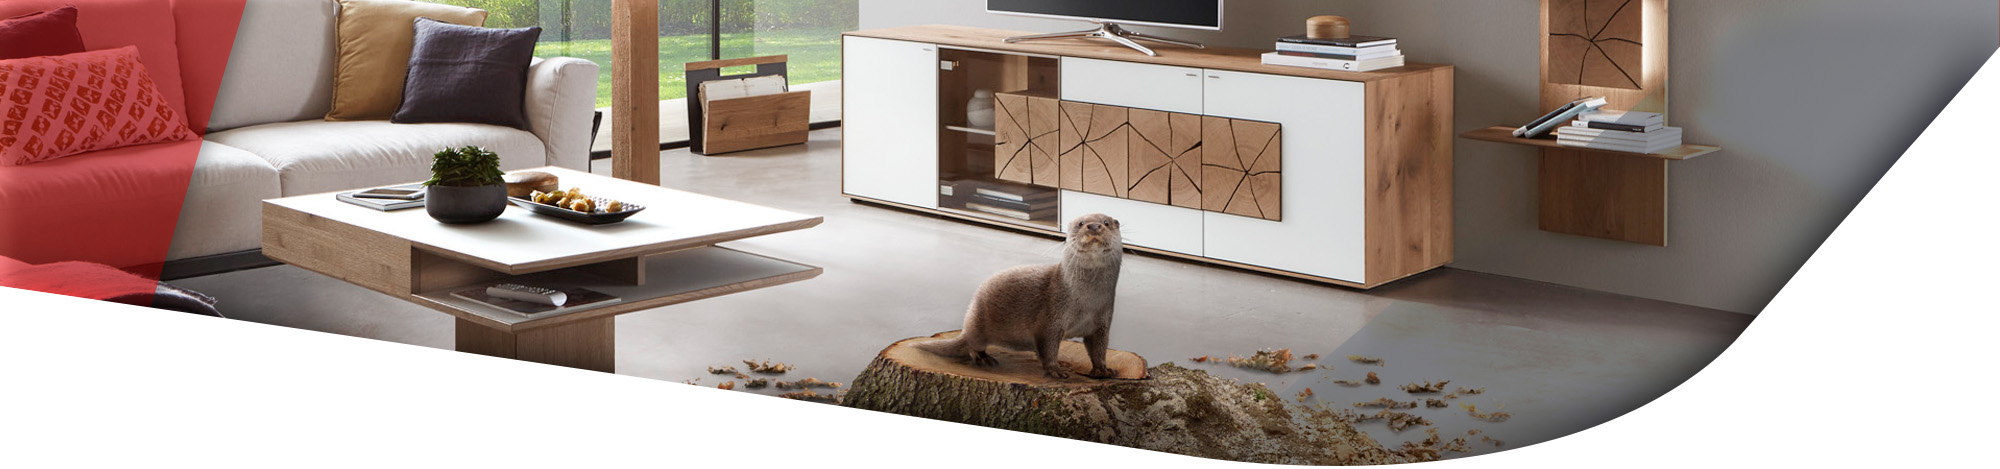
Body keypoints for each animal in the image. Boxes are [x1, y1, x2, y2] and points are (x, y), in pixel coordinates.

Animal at [916, 213, 1124, 379]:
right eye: (1081, 223)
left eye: (1106, 222)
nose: (1094, 226)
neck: (1086, 303)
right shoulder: (1051, 315)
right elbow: (1048, 345)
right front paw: (1055, 370)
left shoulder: (1103, 321)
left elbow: (1099, 348)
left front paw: (1103, 370)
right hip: (978, 322)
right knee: (971, 344)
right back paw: (984, 358)